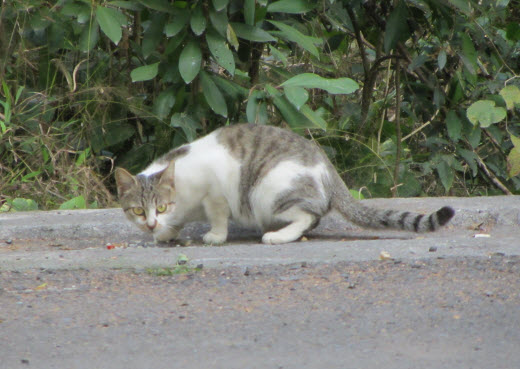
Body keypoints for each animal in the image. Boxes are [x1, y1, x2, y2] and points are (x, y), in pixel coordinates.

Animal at [115, 123, 456, 244]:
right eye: (137, 211)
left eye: (160, 206)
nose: (149, 224)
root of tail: (328, 168)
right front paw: (165, 234)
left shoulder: (214, 191)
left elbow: (218, 216)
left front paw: (215, 235)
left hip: (267, 191)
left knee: (308, 216)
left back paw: (277, 236)